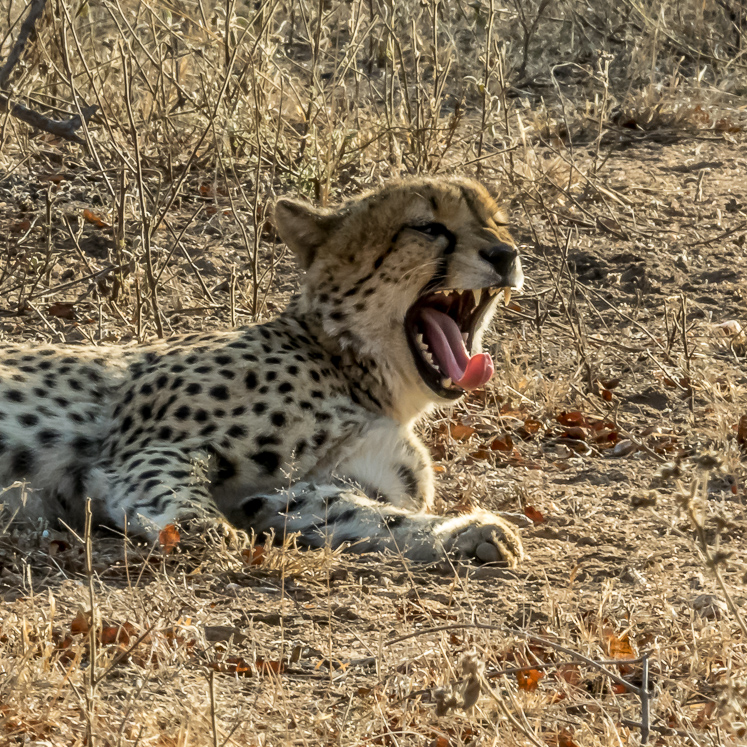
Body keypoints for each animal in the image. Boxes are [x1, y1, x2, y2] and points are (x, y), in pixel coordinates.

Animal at [0, 176, 526, 565]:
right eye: (428, 227)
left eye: (499, 224)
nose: (506, 254)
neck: (358, 372)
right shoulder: (135, 450)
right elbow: (170, 483)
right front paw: (205, 529)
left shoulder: (278, 493)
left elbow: (361, 515)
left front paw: (467, 532)